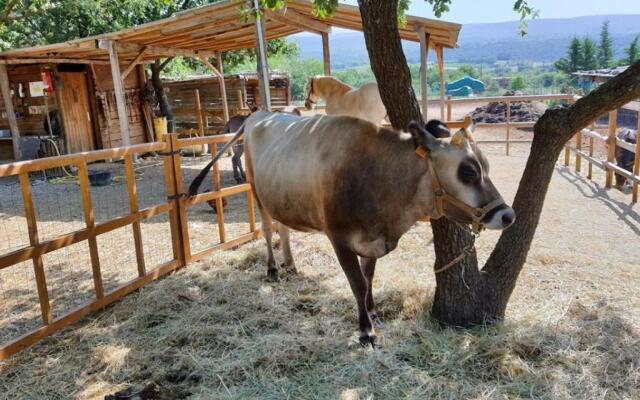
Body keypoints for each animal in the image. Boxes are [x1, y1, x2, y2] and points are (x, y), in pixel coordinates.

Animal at [189, 111, 516, 346]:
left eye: (486, 167)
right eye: (468, 171)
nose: (507, 215)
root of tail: (257, 115)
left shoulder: (372, 240)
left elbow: (368, 278)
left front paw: (373, 312)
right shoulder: (340, 239)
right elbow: (357, 283)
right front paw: (365, 331)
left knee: (283, 228)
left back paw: (291, 264)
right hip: (257, 191)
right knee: (269, 229)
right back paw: (272, 268)